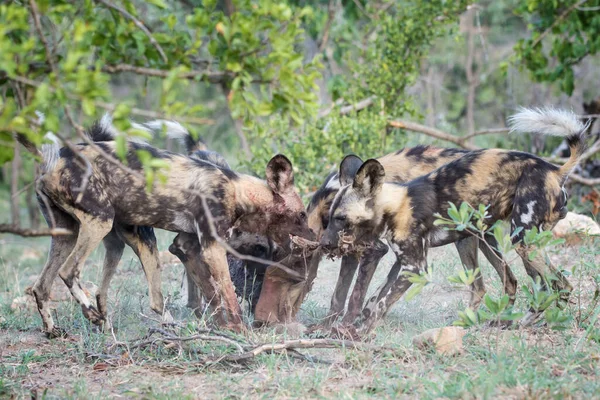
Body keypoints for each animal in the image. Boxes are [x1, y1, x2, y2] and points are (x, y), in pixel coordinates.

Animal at [30, 118, 312, 334]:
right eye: (301, 214)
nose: (314, 236)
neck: (238, 191)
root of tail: (55, 160)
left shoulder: (190, 245)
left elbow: (211, 295)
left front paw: (221, 327)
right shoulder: (212, 249)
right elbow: (228, 295)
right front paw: (240, 331)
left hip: (77, 236)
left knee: (43, 286)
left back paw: (55, 330)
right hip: (100, 222)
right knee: (69, 272)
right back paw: (93, 316)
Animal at [308, 146, 516, 324]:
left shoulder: (375, 249)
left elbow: (352, 295)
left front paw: (341, 327)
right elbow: (344, 294)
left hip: (463, 239)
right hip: (482, 238)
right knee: (510, 279)